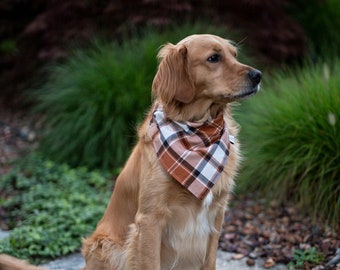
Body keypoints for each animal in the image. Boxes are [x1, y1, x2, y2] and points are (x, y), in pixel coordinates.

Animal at [0, 34, 262, 270]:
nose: (258, 75)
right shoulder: (150, 220)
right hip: (109, 247)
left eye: (234, 55)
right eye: (214, 58)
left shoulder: (216, 215)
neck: (198, 132)